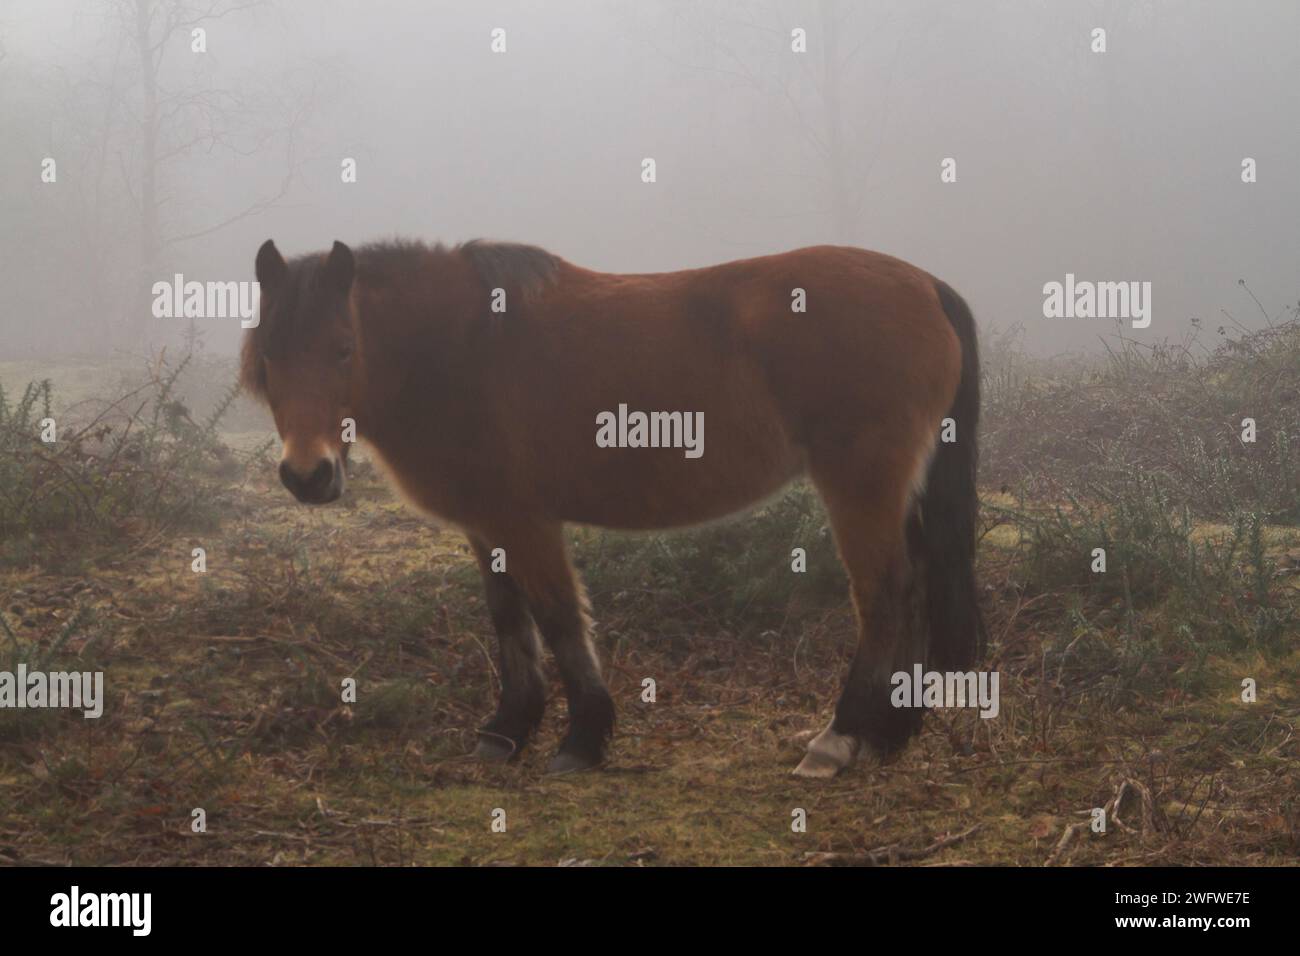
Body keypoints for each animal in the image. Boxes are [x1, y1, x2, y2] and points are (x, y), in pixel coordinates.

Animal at [241, 239, 982, 780]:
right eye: (270, 354)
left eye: (343, 348)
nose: (308, 476)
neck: (462, 350)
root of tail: (926, 286)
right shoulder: (487, 526)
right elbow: (509, 620)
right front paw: (507, 729)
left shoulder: (527, 521)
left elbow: (560, 619)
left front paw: (583, 736)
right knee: (917, 586)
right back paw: (891, 734)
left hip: (860, 484)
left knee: (885, 594)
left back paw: (839, 738)